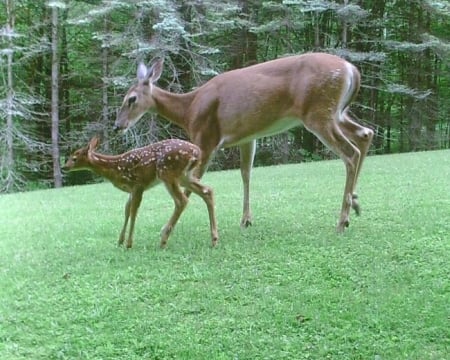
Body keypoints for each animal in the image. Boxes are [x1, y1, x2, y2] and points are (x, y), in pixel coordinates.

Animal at [63, 136, 218, 249]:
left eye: (74, 158)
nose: (65, 167)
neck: (115, 169)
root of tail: (197, 152)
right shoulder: (131, 189)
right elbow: (126, 210)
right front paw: (120, 241)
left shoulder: (138, 184)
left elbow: (133, 211)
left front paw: (129, 243)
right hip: (184, 176)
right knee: (207, 190)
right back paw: (214, 239)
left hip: (167, 172)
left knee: (182, 200)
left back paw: (163, 238)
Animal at [114, 53, 374, 233]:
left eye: (131, 99)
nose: (117, 125)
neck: (188, 110)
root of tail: (351, 69)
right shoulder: (247, 138)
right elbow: (245, 174)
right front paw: (246, 220)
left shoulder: (206, 137)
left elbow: (192, 182)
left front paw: (168, 228)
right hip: (337, 113)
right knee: (365, 134)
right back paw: (355, 203)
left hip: (318, 113)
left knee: (350, 152)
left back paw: (342, 219)